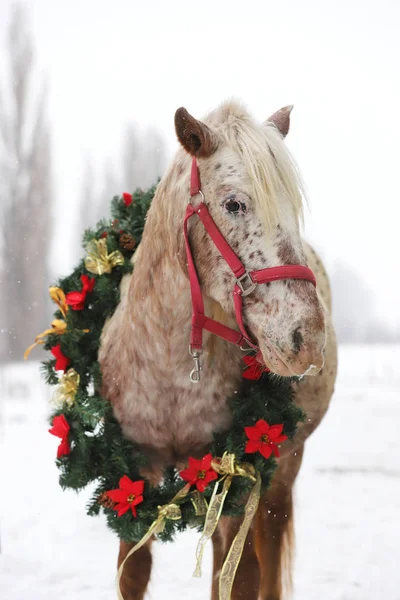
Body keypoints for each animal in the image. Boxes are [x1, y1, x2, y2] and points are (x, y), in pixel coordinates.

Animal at [99, 101, 338, 596]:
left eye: (293, 207)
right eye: (234, 204)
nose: (306, 339)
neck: (171, 369)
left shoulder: (235, 482)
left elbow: (239, 577)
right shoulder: (133, 472)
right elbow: (133, 573)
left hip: (282, 470)